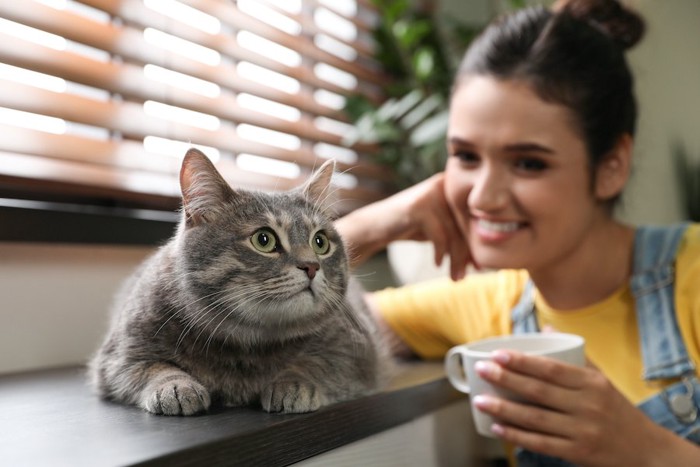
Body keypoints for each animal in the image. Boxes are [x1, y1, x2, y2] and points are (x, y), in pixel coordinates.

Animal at [89, 148, 388, 414]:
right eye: (263, 240)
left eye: (320, 242)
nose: (312, 266)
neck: (248, 343)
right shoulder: (119, 356)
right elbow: (153, 367)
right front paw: (175, 387)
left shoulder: (358, 353)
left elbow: (317, 365)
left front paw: (293, 384)